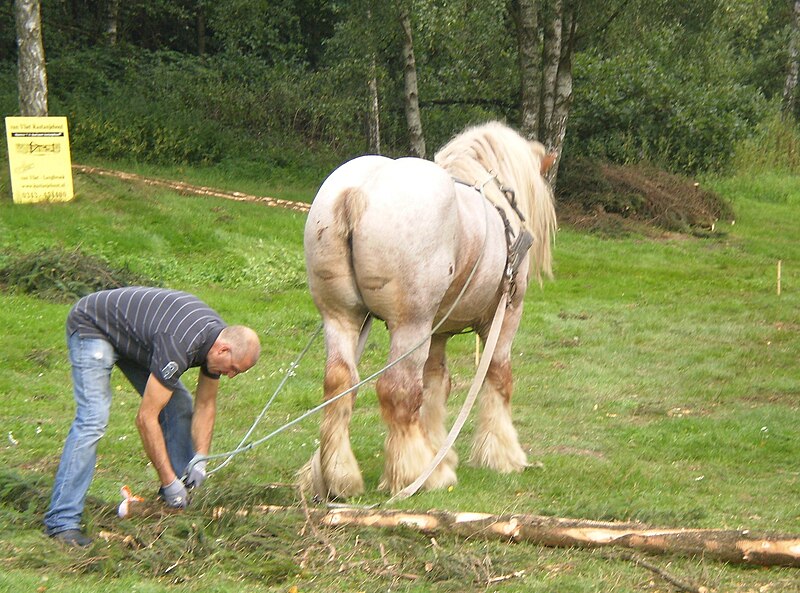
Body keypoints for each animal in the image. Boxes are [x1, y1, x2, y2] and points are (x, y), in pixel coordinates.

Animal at [300, 122, 556, 498]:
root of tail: (357, 191)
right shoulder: (505, 317)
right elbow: (498, 378)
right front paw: (501, 454)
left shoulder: (438, 332)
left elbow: (435, 385)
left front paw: (439, 451)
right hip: (411, 325)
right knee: (397, 390)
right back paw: (416, 474)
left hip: (341, 317)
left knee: (339, 383)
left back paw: (338, 476)